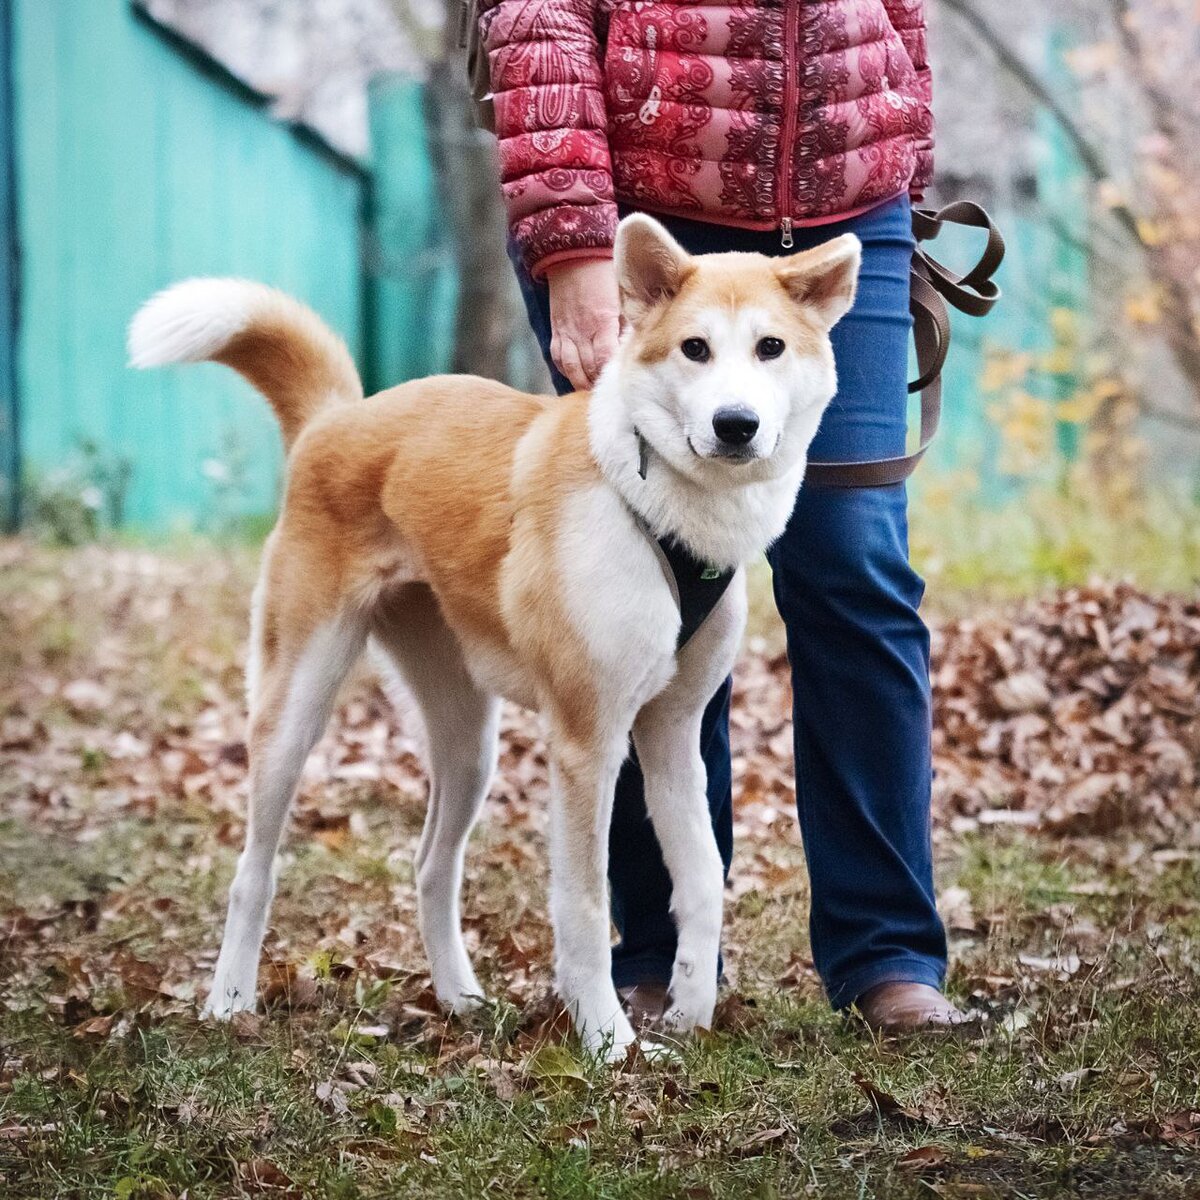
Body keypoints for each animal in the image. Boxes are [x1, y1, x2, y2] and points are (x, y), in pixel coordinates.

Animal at [129, 216, 864, 1060]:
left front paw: (689, 1013)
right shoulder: (587, 744)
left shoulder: (671, 734)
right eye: (696, 349)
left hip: (468, 742)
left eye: (770, 348)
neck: (654, 500)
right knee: (254, 870)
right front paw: (609, 1042)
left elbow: (704, 881)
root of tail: (336, 420)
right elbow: (583, 903)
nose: (735, 425)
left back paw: (458, 999)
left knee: (430, 867)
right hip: (294, 711)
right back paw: (229, 1001)